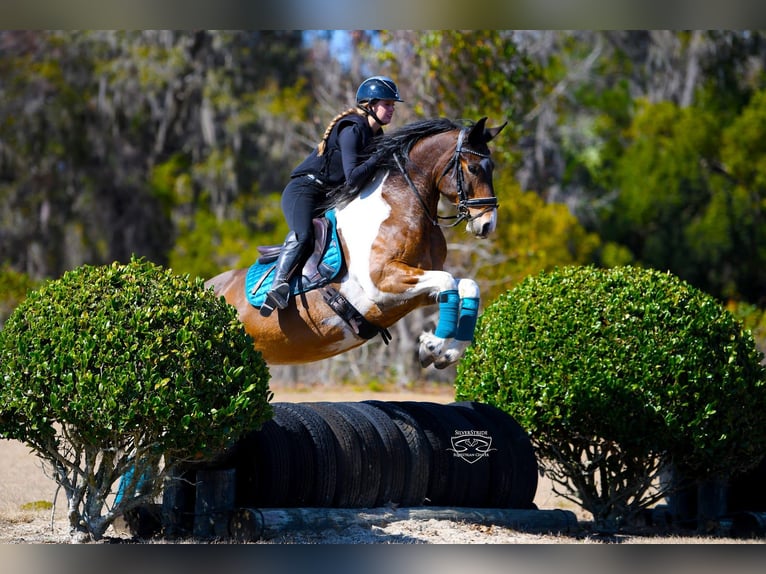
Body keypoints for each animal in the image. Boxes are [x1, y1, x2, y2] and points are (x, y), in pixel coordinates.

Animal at [205, 117, 506, 369]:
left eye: (492, 168)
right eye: (474, 168)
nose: (487, 224)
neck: (399, 207)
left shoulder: (412, 292)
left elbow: (465, 285)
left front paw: (446, 352)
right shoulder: (382, 282)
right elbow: (447, 281)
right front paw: (433, 346)